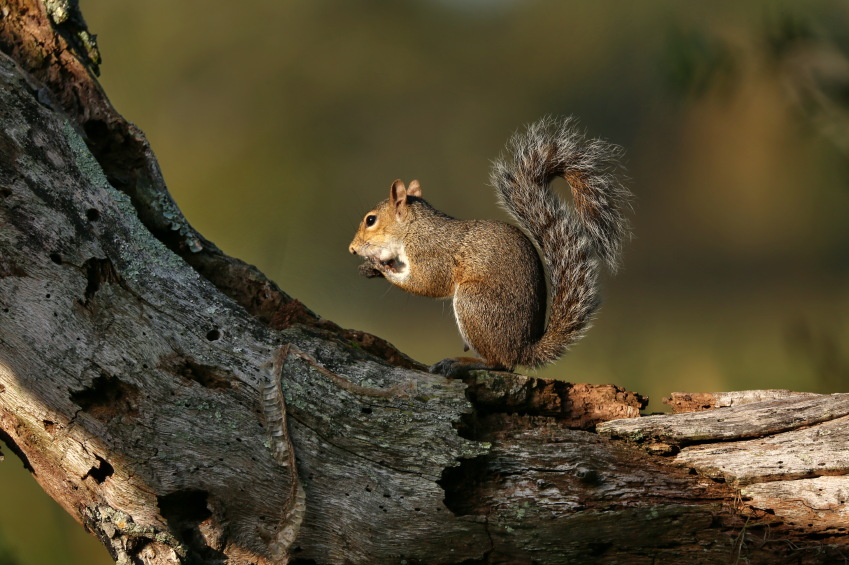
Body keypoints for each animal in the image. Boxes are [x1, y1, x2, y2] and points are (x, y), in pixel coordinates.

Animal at [348, 117, 631, 374]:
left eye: (371, 220)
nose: (352, 249)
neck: (413, 229)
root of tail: (521, 349)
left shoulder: (431, 252)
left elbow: (429, 283)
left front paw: (381, 268)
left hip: (474, 302)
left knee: (500, 364)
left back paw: (466, 362)